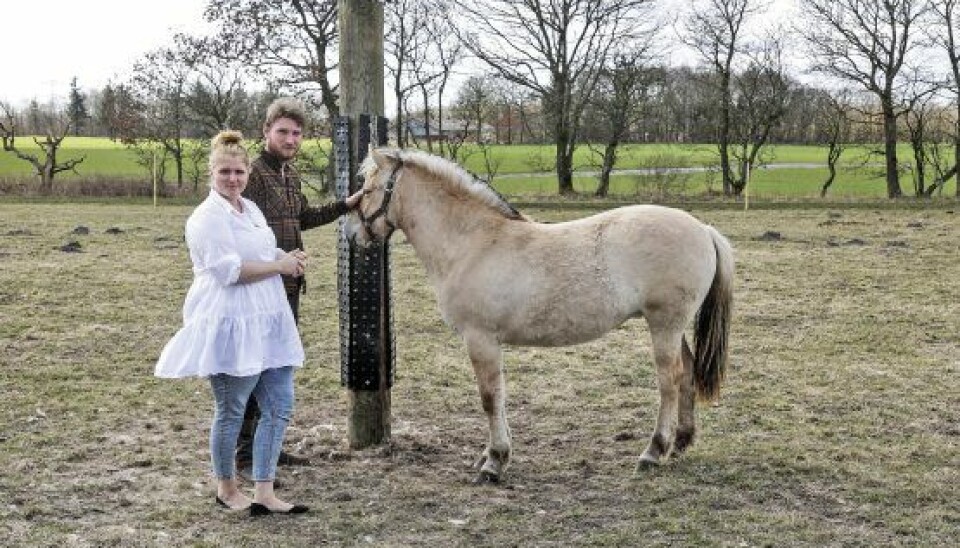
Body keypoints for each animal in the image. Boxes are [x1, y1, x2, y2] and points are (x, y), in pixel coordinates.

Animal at [344, 148, 736, 482]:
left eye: (368, 189)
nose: (351, 234)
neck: (473, 243)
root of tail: (702, 229)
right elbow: (499, 396)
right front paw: (495, 453)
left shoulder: (480, 339)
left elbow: (490, 398)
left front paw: (494, 461)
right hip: (672, 327)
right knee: (686, 374)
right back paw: (680, 442)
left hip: (664, 325)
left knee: (669, 381)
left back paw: (653, 452)